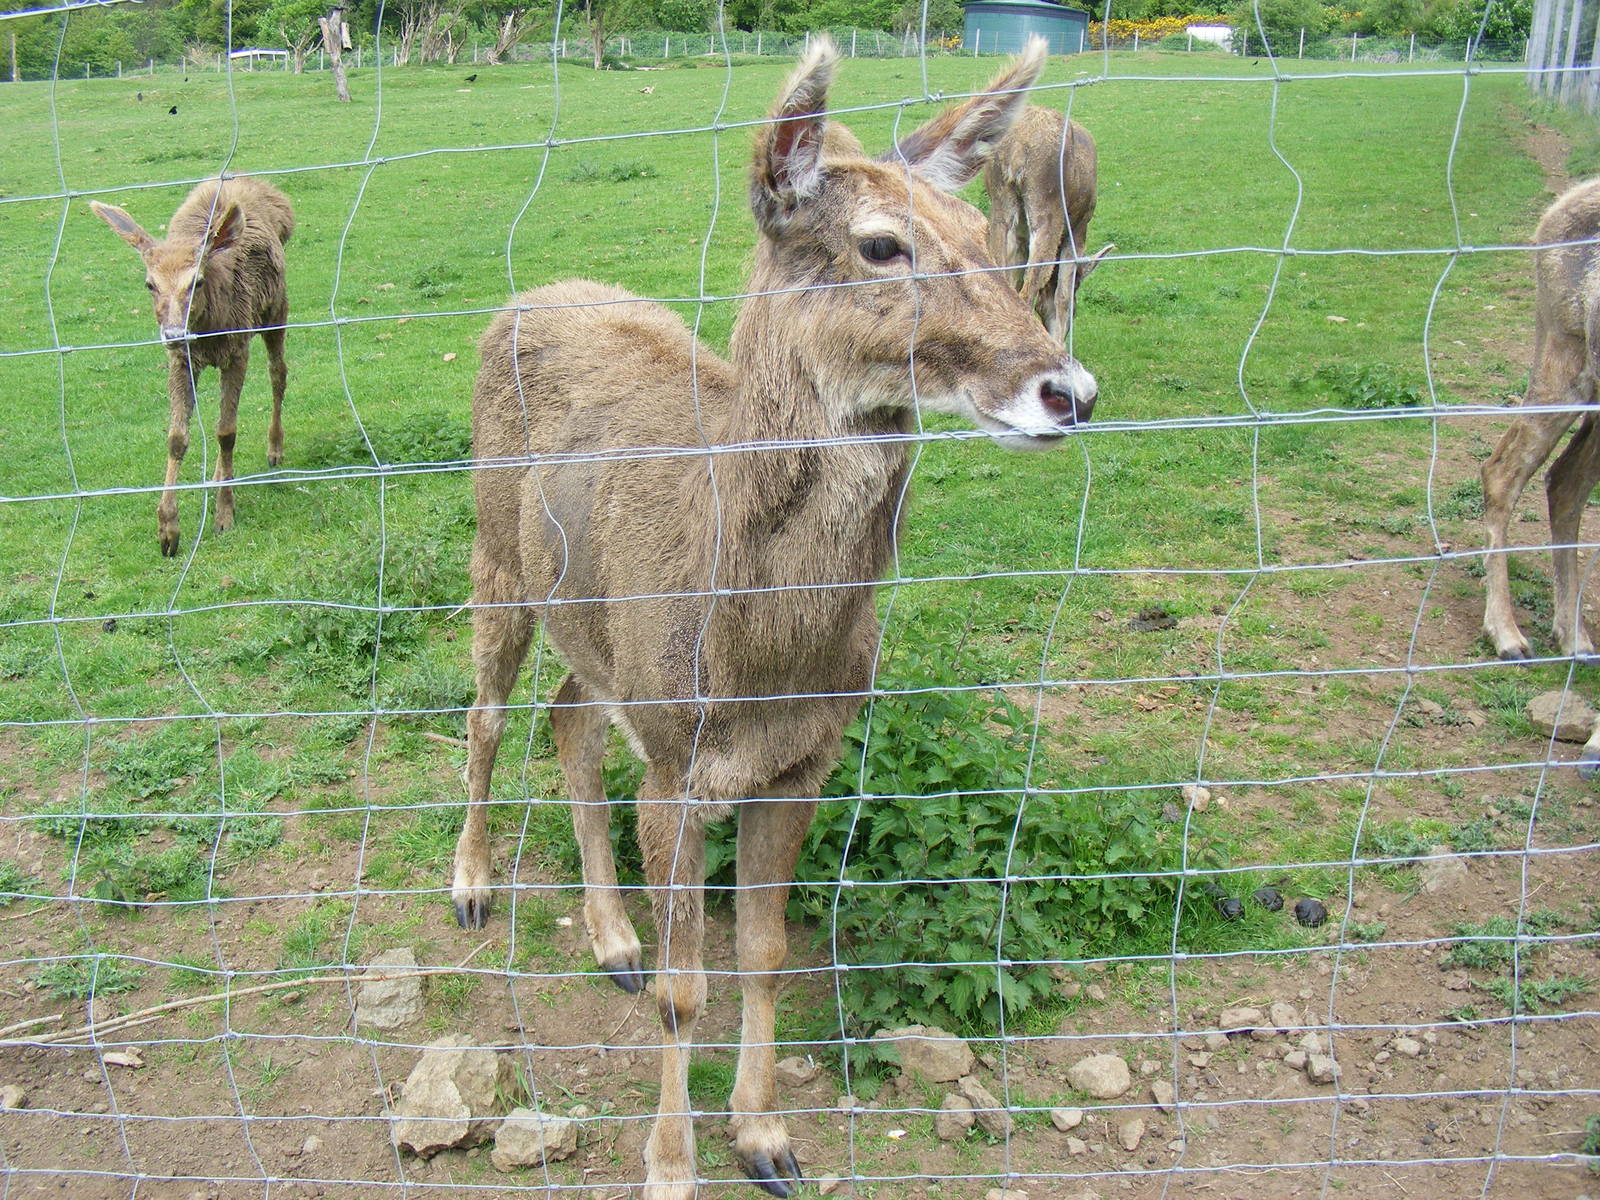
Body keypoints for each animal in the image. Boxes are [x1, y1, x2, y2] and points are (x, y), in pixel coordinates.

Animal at [90, 176, 293, 556]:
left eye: (196, 281)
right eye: (150, 284)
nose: (173, 333)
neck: (210, 330)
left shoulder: (237, 348)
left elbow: (226, 432)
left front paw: (224, 516)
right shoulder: (182, 360)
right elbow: (177, 437)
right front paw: (167, 530)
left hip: (276, 309)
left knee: (279, 373)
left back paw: (274, 449)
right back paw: (217, 476)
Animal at [449, 36, 1094, 1200]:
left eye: (984, 233)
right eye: (879, 244)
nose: (1067, 391)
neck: (760, 653)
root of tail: (531, 294)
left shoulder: (801, 763)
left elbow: (764, 955)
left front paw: (765, 1138)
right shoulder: (677, 764)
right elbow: (685, 991)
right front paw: (669, 1165)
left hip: (592, 628)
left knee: (567, 712)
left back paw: (610, 940)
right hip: (495, 552)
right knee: (484, 713)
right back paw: (472, 888)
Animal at [983, 104, 1111, 343]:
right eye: (1079, 287)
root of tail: (1017, 149)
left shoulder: (1020, 238)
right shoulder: (1078, 229)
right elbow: (1062, 295)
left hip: (1000, 204)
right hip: (1048, 207)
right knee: (1029, 290)